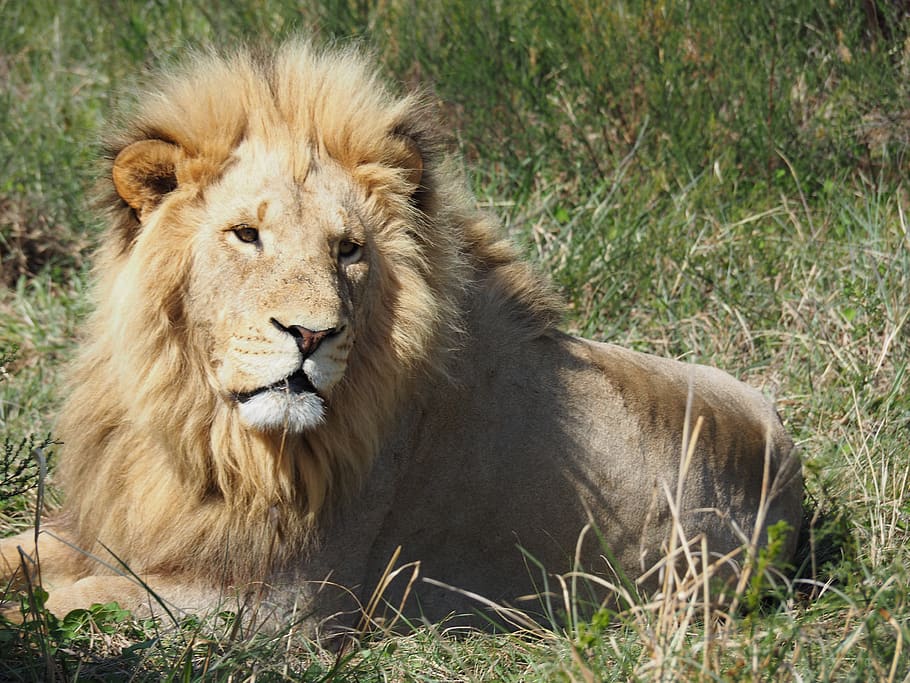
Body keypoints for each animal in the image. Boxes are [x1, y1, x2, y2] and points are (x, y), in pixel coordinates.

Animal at [1, 41, 802, 636]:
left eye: (349, 249)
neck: (205, 428)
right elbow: (24, 553)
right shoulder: (109, 532)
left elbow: (70, 601)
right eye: (246, 234)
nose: (310, 333)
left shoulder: (274, 609)